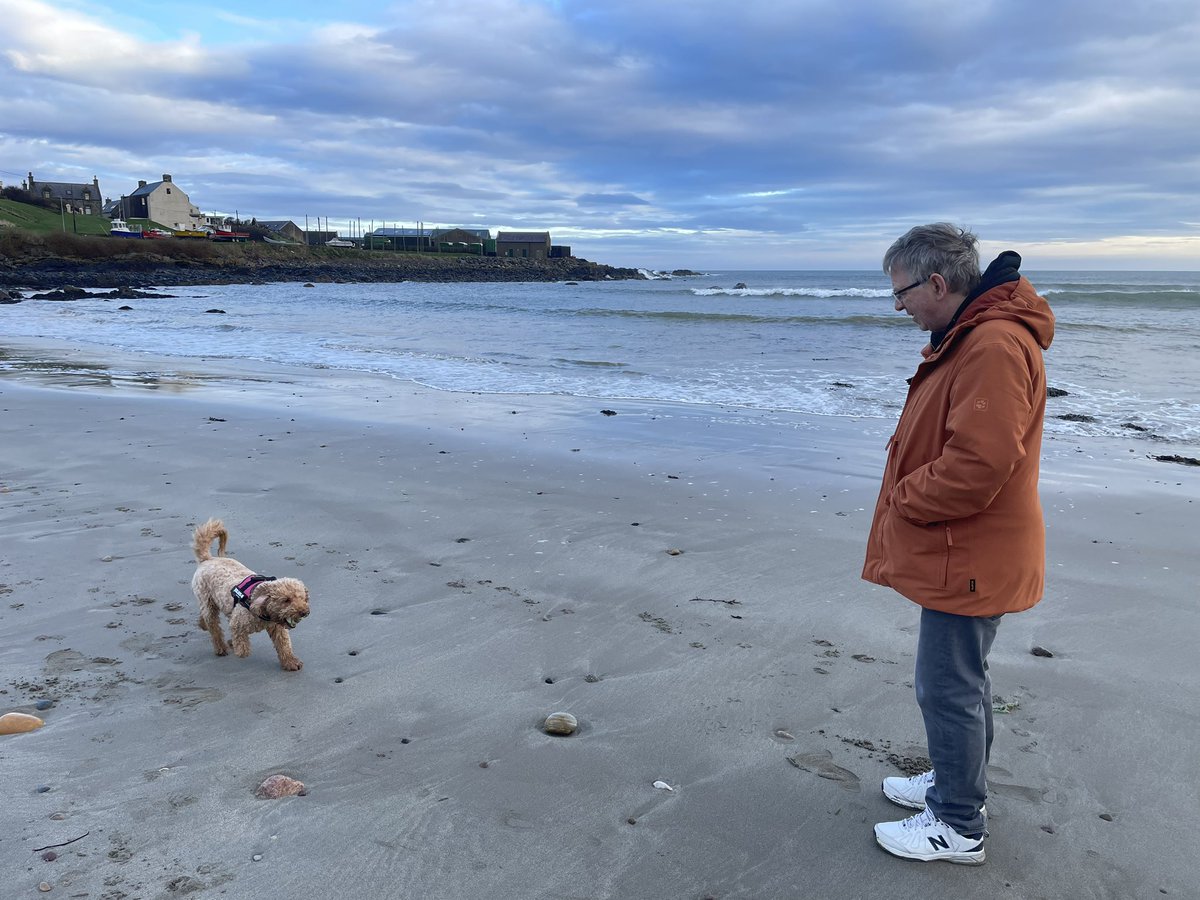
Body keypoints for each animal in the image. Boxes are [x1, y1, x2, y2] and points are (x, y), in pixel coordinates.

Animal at [190, 520, 309, 672]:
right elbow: (241, 645)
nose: (304, 612)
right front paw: (237, 647)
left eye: (302, 598)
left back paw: (203, 624)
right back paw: (221, 647)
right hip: (208, 601)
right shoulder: (237, 622)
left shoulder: (277, 628)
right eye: (286, 600)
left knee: (205, 617)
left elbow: (284, 646)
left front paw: (291, 662)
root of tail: (207, 559)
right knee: (214, 627)